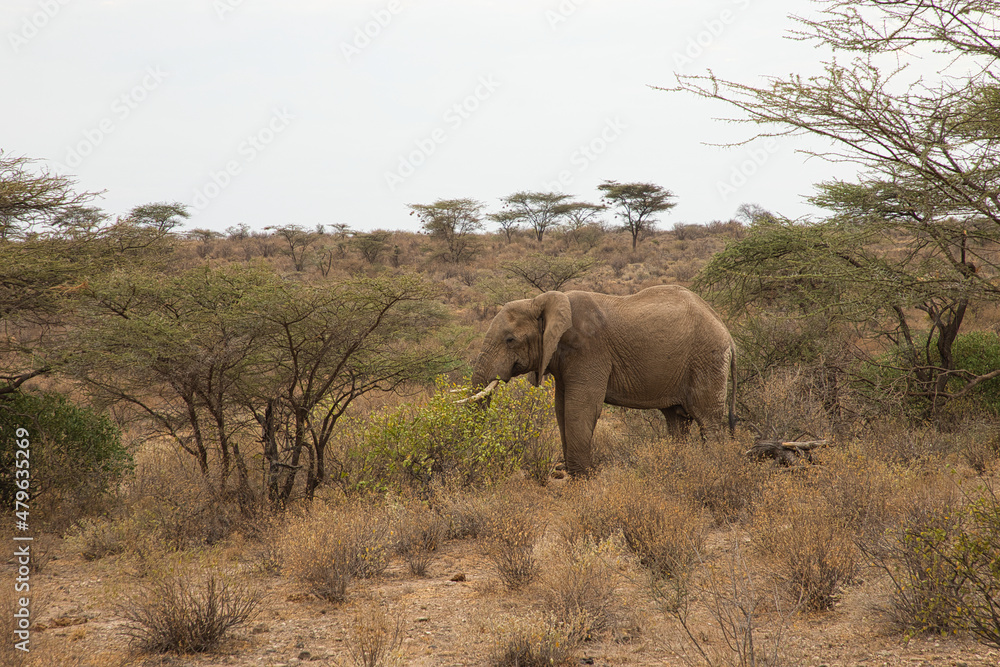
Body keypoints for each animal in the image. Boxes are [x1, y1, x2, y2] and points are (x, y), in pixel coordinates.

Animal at [466, 286, 736, 474]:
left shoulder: (589, 350)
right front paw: (572, 473)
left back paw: (714, 467)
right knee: (677, 421)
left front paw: (580, 478)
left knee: (708, 421)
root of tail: (728, 333)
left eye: (510, 340)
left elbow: (580, 408)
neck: (543, 301)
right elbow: (561, 408)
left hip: (707, 359)